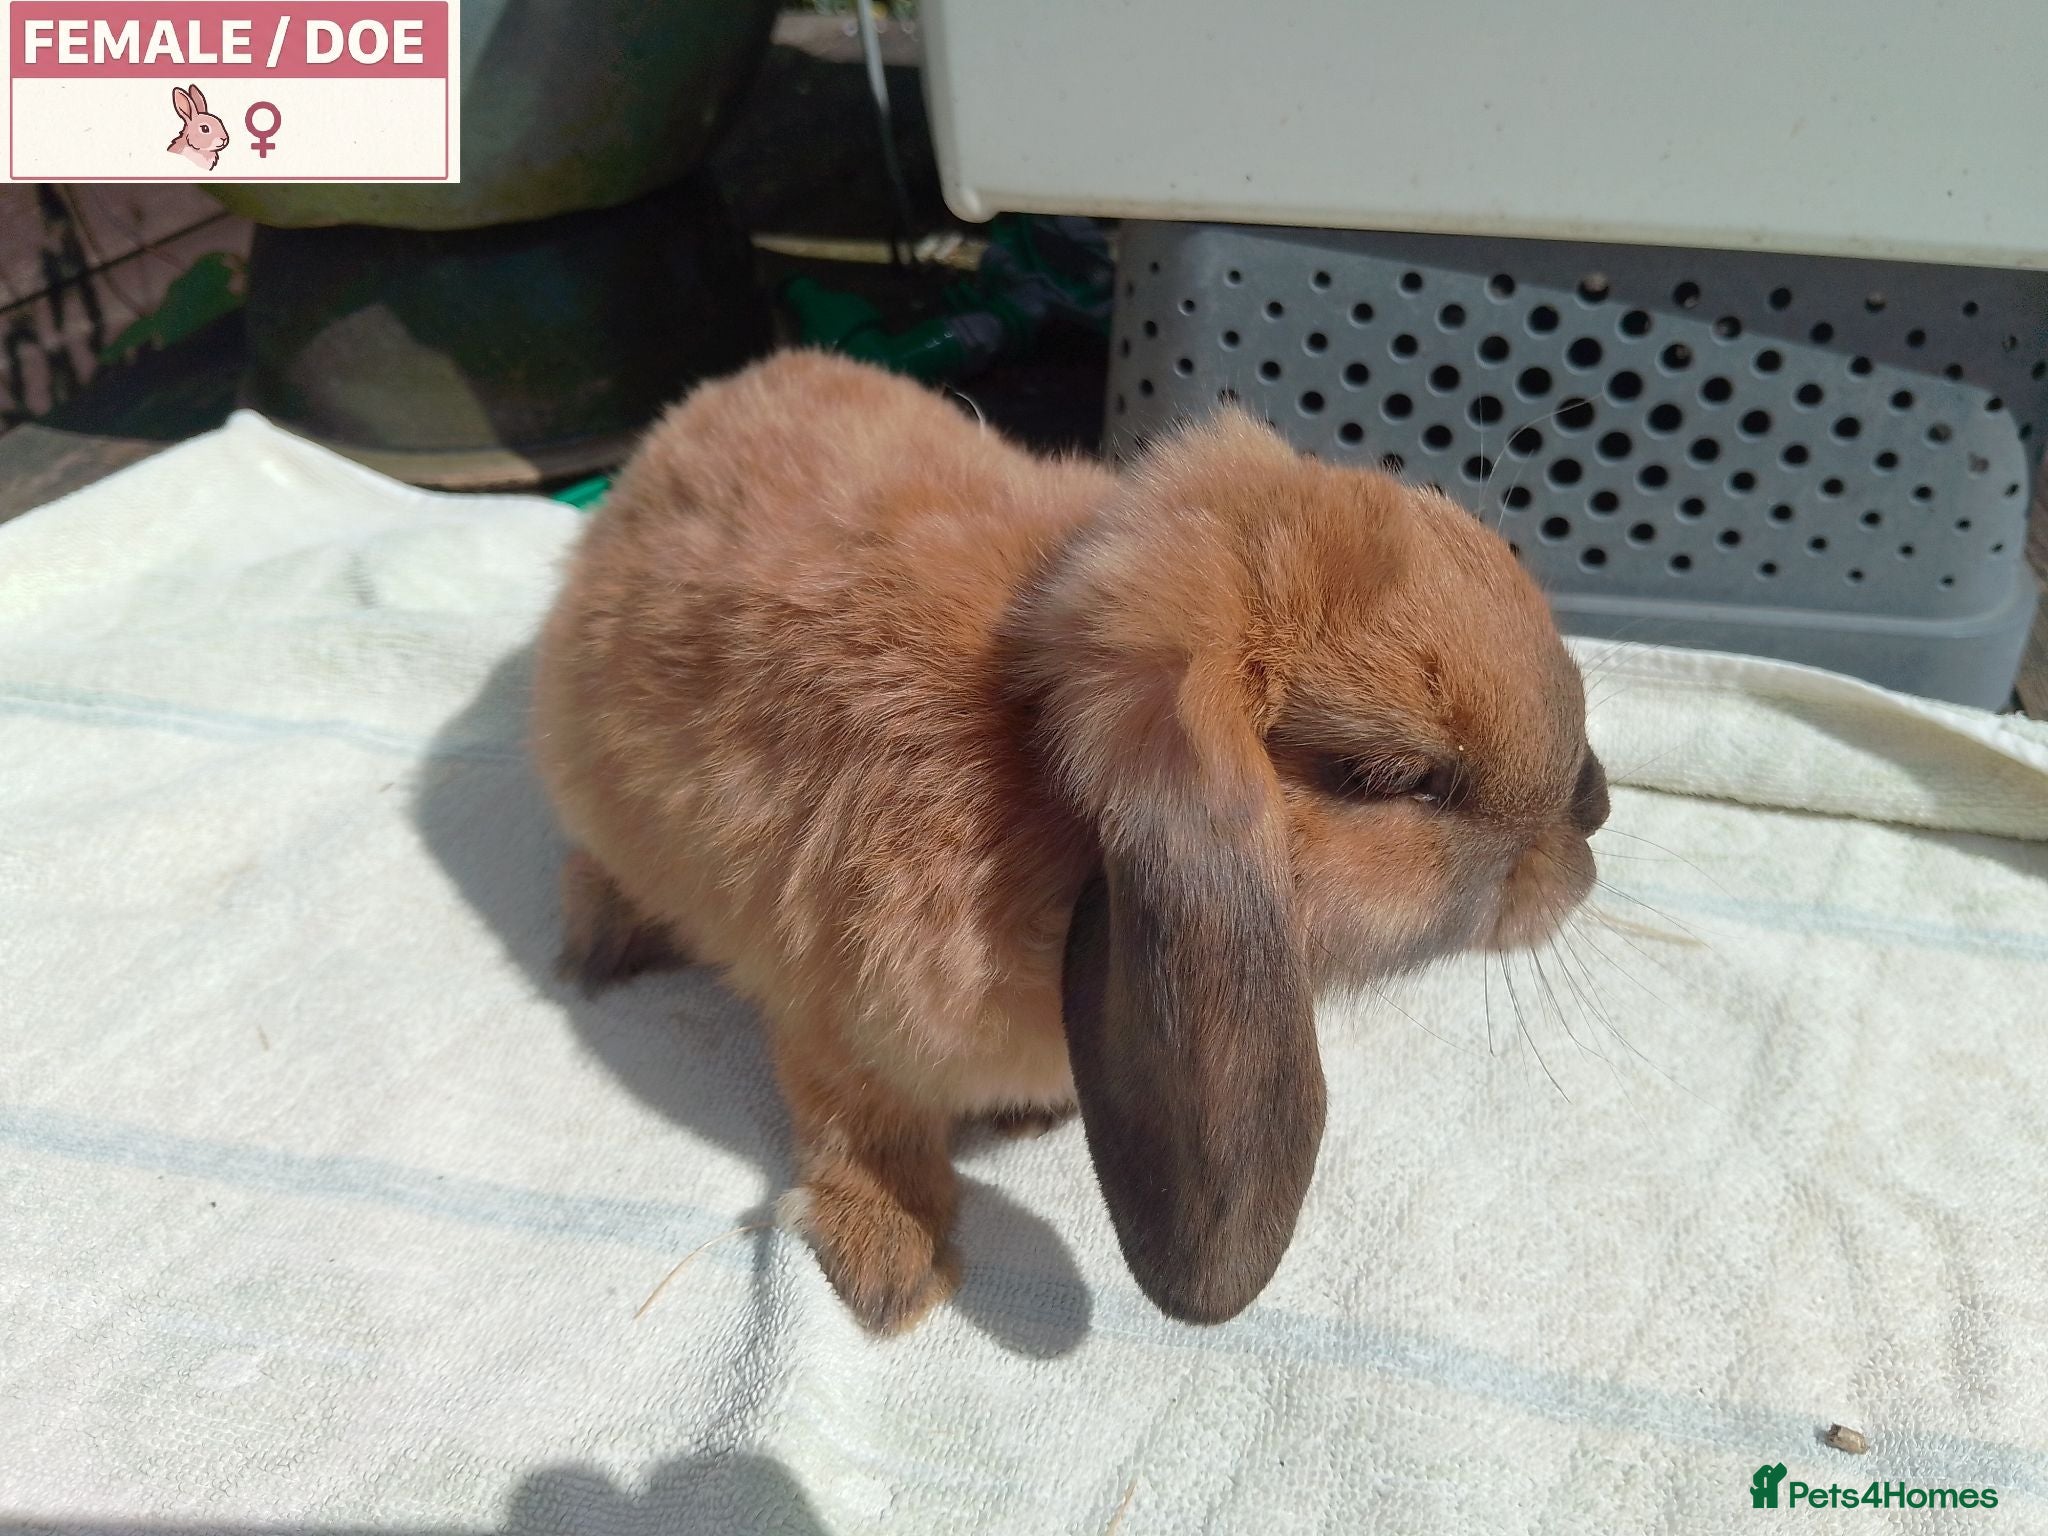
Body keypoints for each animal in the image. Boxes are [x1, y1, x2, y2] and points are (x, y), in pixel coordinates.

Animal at [530, 350, 1610, 1334]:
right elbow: (860, 1128)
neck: (1031, 777)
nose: (1594, 810)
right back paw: (598, 946)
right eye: (1388, 776)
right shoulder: (831, 1021)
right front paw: (895, 1271)